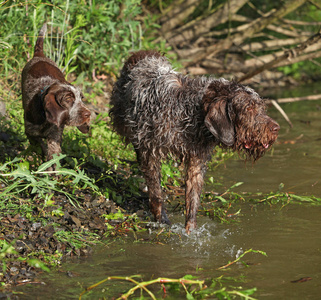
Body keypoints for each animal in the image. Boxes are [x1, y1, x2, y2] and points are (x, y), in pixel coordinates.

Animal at [109, 50, 278, 233]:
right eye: (248, 108)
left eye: (260, 107)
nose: (276, 128)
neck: (190, 113)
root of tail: (141, 53)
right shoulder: (149, 151)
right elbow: (156, 193)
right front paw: (162, 221)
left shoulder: (196, 161)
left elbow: (192, 199)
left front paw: (190, 231)